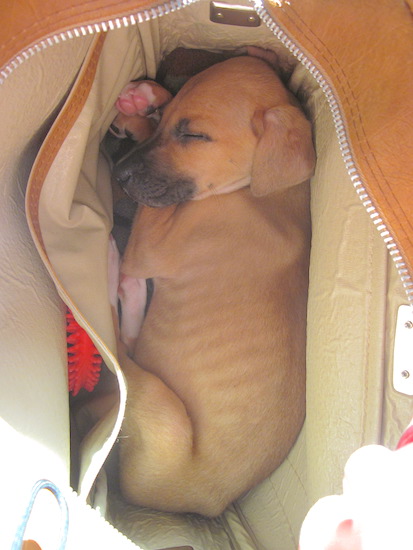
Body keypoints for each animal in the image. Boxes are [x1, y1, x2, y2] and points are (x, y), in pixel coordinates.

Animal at [110, 54, 316, 520]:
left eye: (194, 135)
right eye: (170, 119)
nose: (118, 172)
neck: (264, 190)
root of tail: (198, 500)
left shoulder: (153, 243)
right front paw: (144, 99)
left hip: (164, 411)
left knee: (123, 351)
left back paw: (120, 286)